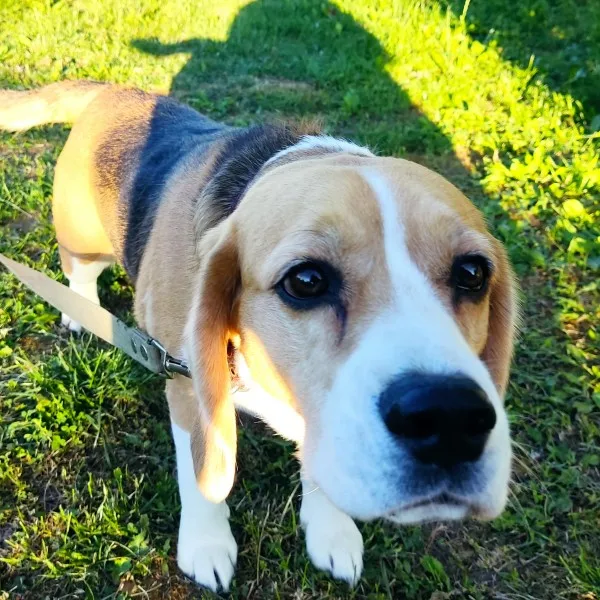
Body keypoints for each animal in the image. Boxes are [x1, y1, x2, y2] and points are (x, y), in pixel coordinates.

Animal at [0, 81, 517, 592]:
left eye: (472, 273)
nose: (451, 418)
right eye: (305, 281)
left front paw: (331, 530)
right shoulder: (187, 384)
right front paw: (207, 545)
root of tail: (111, 91)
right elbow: (202, 473)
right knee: (79, 272)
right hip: (84, 242)